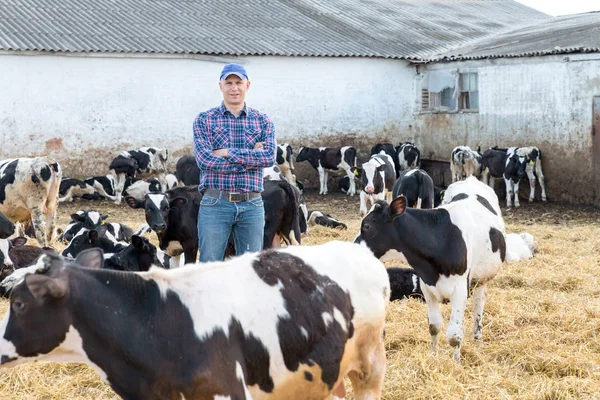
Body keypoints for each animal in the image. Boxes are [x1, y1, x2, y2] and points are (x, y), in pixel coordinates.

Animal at [356, 177, 506, 360]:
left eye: (367, 226)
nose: (353, 247)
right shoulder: (427, 287)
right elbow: (434, 326)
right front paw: (433, 355)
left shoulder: (460, 290)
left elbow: (454, 335)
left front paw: (456, 362)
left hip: (482, 279)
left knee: (479, 303)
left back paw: (477, 337)